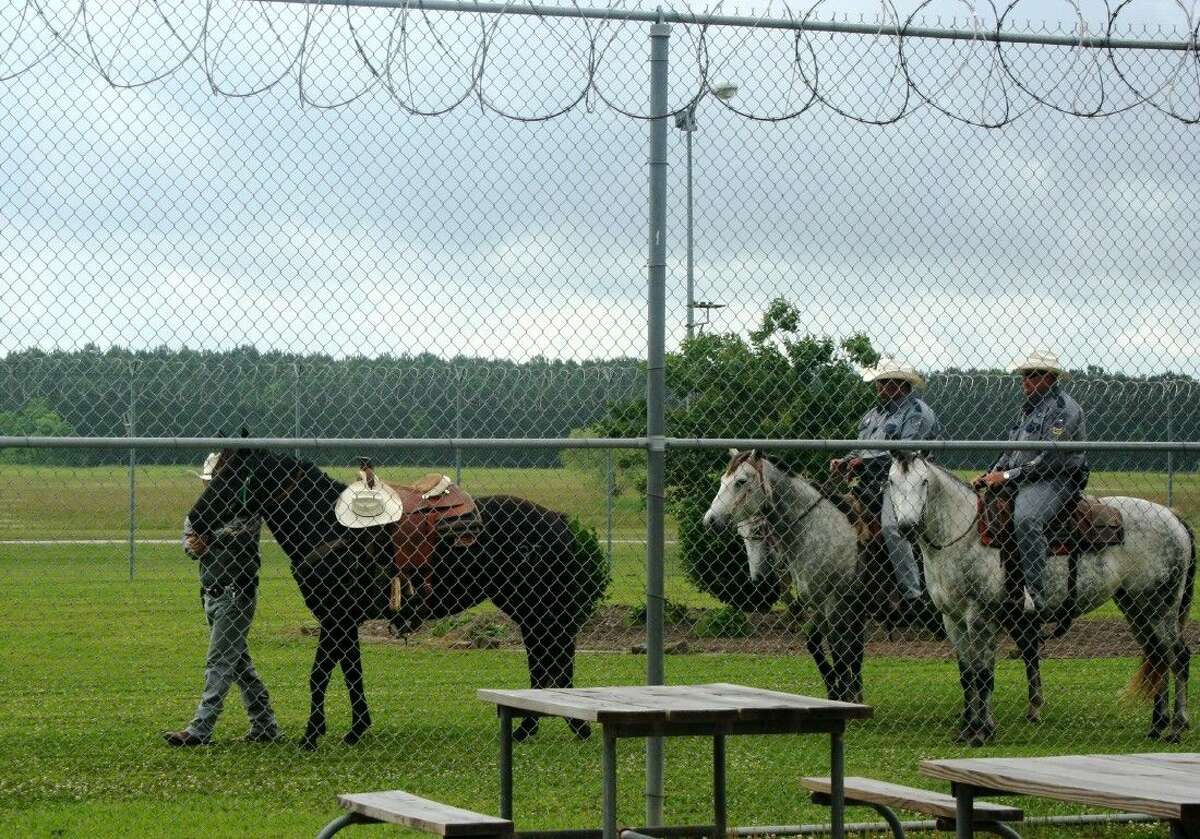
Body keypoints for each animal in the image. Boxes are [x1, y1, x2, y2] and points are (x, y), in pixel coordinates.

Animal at [190, 448, 604, 753]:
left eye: (231, 478)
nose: (195, 519)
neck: (327, 527)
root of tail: (557, 520)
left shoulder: (335, 618)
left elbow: (320, 674)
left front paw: (311, 735)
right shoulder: (343, 622)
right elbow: (352, 674)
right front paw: (356, 729)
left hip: (537, 606)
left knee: (552, 658)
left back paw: (563, 725)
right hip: (529, 608)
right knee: (545, 658)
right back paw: (536, 727)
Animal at [888, 456, 1195, 744]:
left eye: (923, 482)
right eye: (891, 482)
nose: (907, 527)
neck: (966, 533)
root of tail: (1173, 518)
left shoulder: (980, 618)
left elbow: (983, 674)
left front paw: (982, 732)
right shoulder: (952, 619)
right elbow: (967, 675)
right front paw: (967, 730)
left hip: (1160, 607)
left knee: (1178, 657)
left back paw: (1176, 727)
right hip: (1137, 608)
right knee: (1158, 656)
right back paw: (1156, 726)